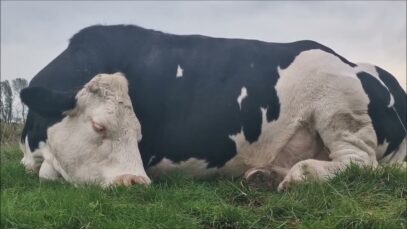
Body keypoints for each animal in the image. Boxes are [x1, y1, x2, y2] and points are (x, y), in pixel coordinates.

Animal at [19, 24, 407, 191]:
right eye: (100, 126)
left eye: (140, 134)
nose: (136, 182)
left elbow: (47, 173)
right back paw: (266, 175)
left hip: (338, 105)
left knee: (360, 163)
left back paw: (301, 175)